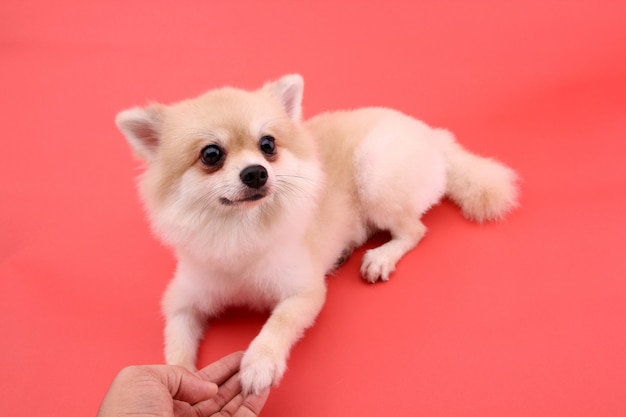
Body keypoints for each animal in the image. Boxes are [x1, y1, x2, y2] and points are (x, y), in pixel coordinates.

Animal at [116, 74, 516, 394]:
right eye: (211, 154)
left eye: (268, 145)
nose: (256, 172)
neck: (241, 228)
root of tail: (432, 134)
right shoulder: (183, 300)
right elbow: (176, 345)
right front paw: (178, 378)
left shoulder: (303, 292)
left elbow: (277, 324)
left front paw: (260, 363)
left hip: (376, 172)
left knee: (414, 230)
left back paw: (380, 257)